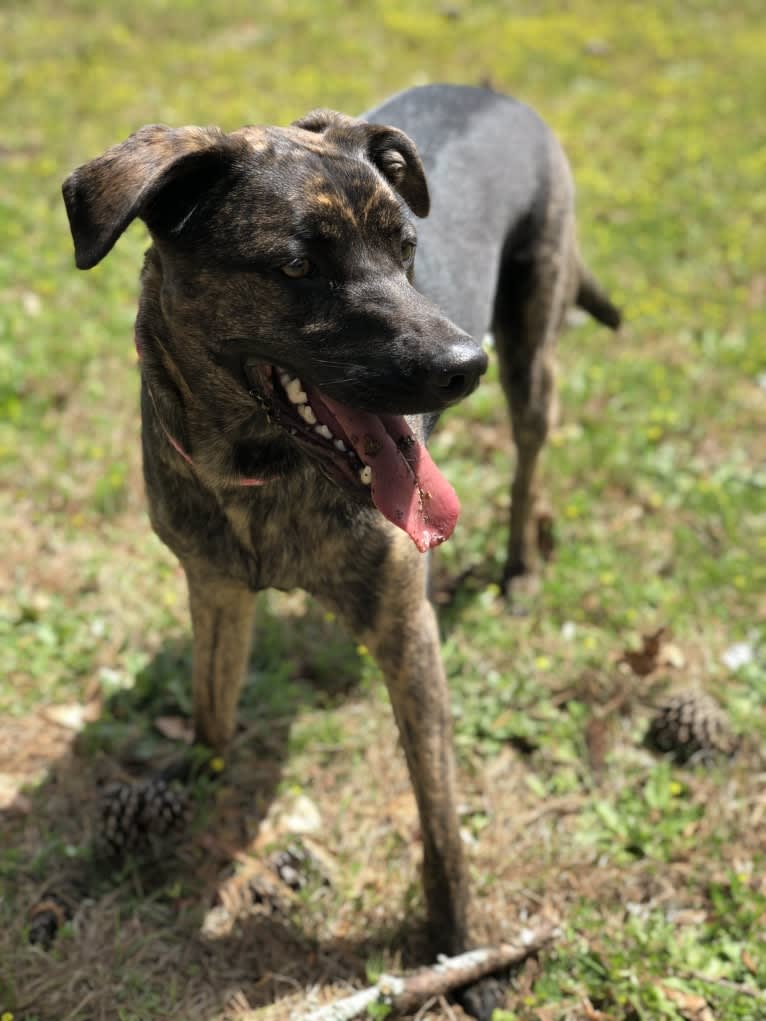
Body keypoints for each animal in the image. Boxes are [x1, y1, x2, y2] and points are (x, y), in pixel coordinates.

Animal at [63, 85, 620, 1012]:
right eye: (296, 268)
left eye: (407, 251)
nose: (464, 363)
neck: (259, 470)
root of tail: (490, 88)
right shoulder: (213, 586)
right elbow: (212, 704)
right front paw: (195, 784)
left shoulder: (406, 634)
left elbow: (440, 820)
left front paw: (458, 950)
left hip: (533, 345)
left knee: (530, 453)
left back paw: (522, 563)